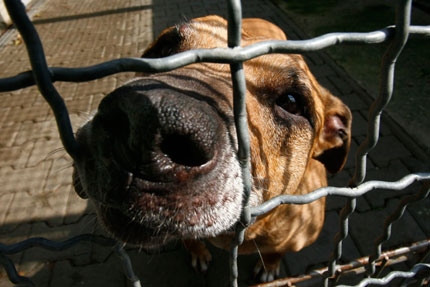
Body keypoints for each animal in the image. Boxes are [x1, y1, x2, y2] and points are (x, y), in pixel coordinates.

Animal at [72, 15, 352, 284]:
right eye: (164, 48)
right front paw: (197, 251)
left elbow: (278, 251)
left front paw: (270, 265)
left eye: (292, 102)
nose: (143, 126)